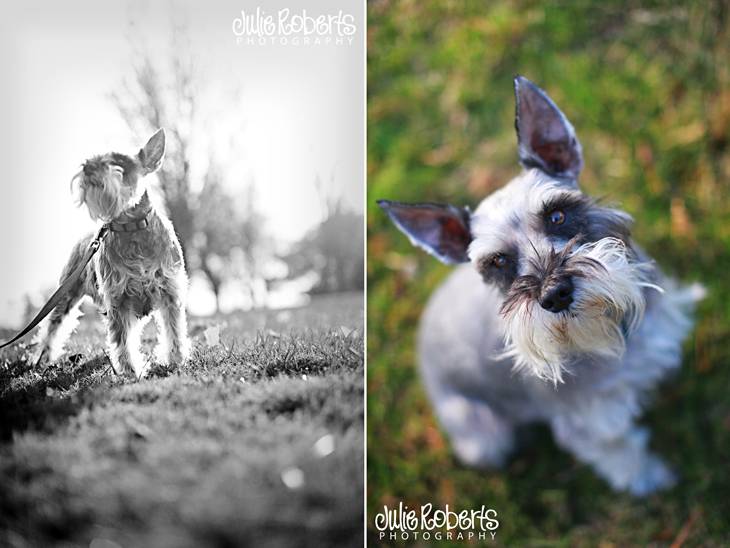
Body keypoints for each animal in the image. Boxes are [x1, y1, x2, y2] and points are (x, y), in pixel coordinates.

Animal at [33, 129, 191, 378]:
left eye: (120, 161)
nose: (88, 166)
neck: (131, 228)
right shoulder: (118, 300)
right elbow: (122, 340)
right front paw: (130, 370)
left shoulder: (169, 291)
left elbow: (174, 331)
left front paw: (175, 360)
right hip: (66, 295)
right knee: (53, 326)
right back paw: (43, 357)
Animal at [378, 76, 704, 496]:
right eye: (498, 261)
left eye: (557, 214)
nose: (554, 294)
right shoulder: (590, 422)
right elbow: (622, 452)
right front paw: (650, 479)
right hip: (480, 432)